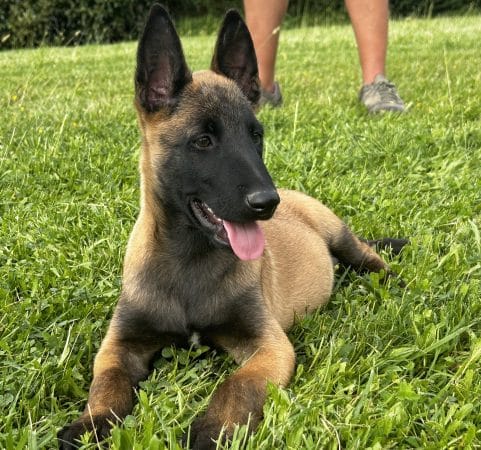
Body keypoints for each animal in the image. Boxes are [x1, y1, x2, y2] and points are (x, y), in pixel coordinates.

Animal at [58, 4, 406, 450]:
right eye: (203, 141)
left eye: (256, 135)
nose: (266, 203)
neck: (189, 261)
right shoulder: (120, 344)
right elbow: (108, 382)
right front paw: (93, 422)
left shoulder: (268, 346)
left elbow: (237, 386)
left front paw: (213, 430)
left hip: (336, 232)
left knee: (367, 255)